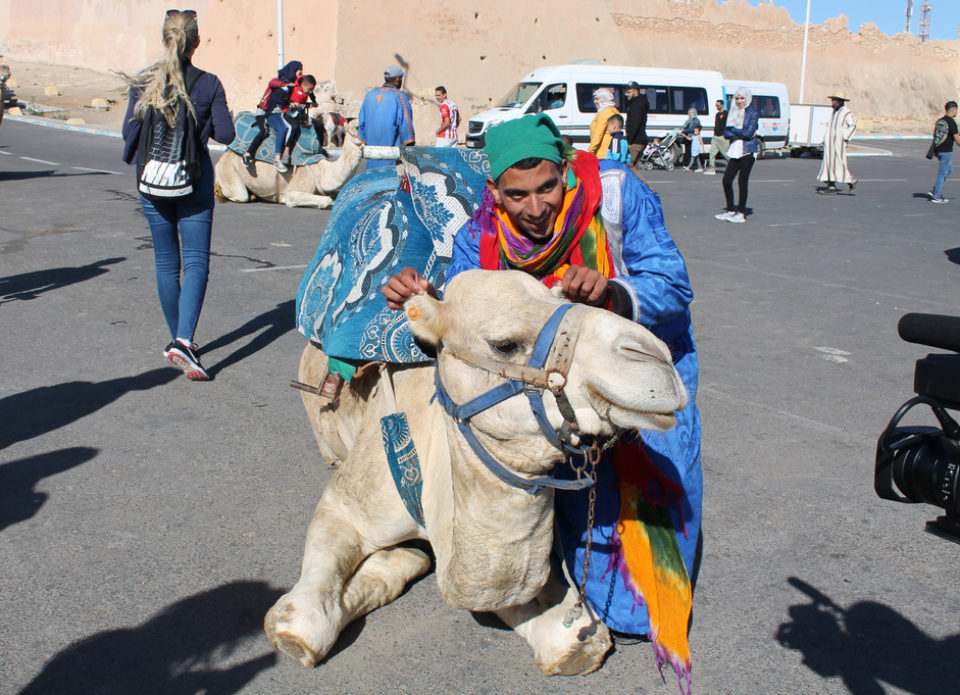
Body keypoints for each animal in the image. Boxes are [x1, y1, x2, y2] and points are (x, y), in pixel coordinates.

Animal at [214, 129, 364, 208]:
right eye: (357, 129)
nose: (364, 142)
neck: (322, 171)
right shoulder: (295, 189)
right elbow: (326, 200)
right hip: (229, 170)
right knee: (239, 195)